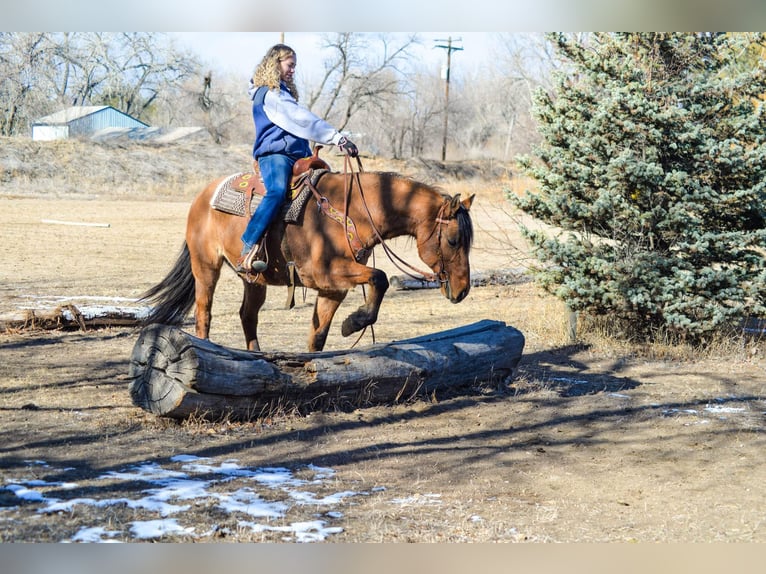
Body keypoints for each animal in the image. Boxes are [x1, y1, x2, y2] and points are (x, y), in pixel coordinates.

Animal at [140, 159, 472, 356]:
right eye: (453, 240)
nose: (462, 290)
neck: (353, 211)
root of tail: (202, 196)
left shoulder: (333, 289)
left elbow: (318, 336)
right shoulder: (322, 273)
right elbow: (379, 279)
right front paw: (353, 323)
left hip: (254, 280)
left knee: (248, 315)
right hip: (206, 267)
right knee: (204, 314)